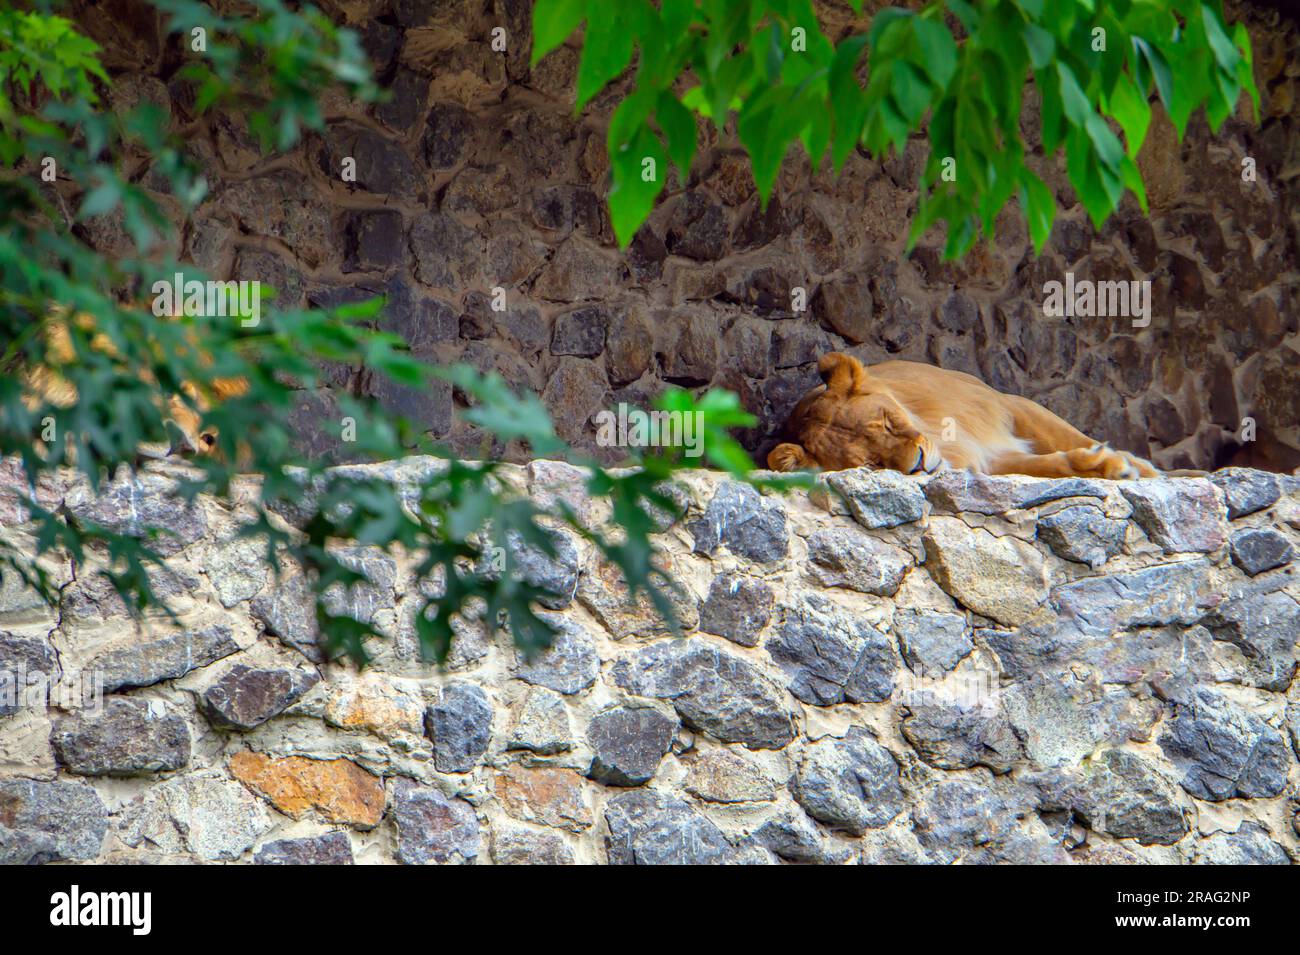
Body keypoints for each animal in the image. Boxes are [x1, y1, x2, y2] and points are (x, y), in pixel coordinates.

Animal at [759, 356, 1159, 480]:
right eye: (872, 464)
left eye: (887, 422)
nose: (919, 463)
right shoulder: (989, 460)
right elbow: (1045, 466)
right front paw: (1104, 466)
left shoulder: (1010, 405)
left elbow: (1068, 437)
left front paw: (1133, 466)